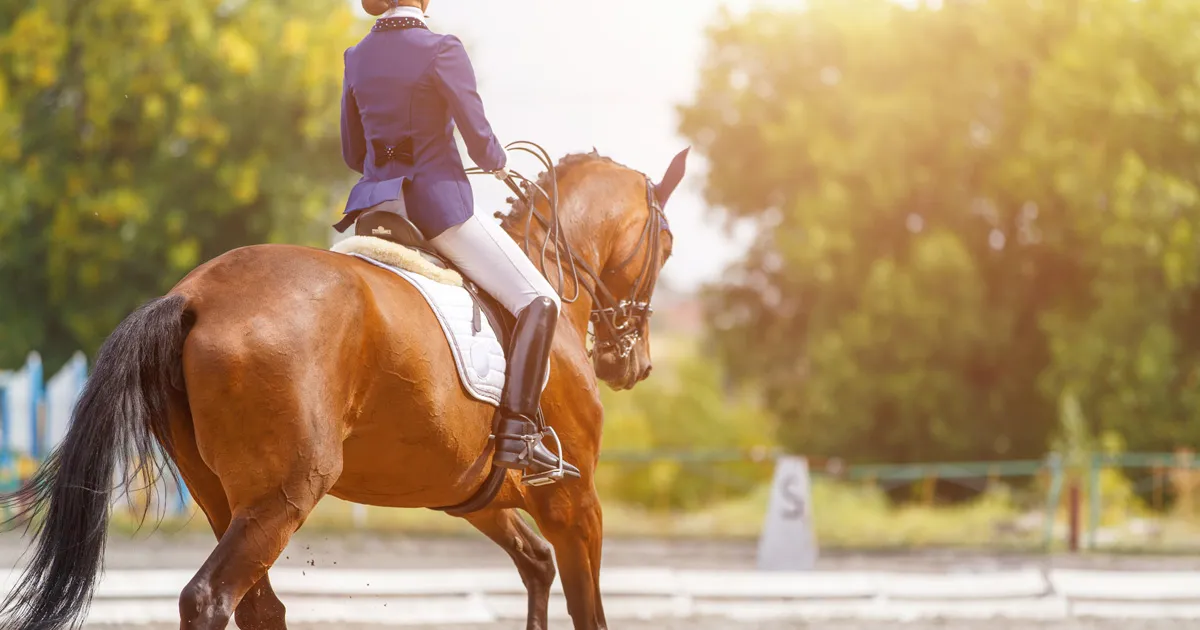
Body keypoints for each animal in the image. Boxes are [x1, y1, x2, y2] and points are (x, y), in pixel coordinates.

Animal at [0, 143, 691, 628]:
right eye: (668, 244)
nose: (632, 365)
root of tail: (192, 296)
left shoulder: (479, 496)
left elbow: (536, 565)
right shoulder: (574, 500)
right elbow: (588, 610)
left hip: (223, 498)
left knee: (257, 609)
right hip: (283, 496)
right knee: (209, 600)